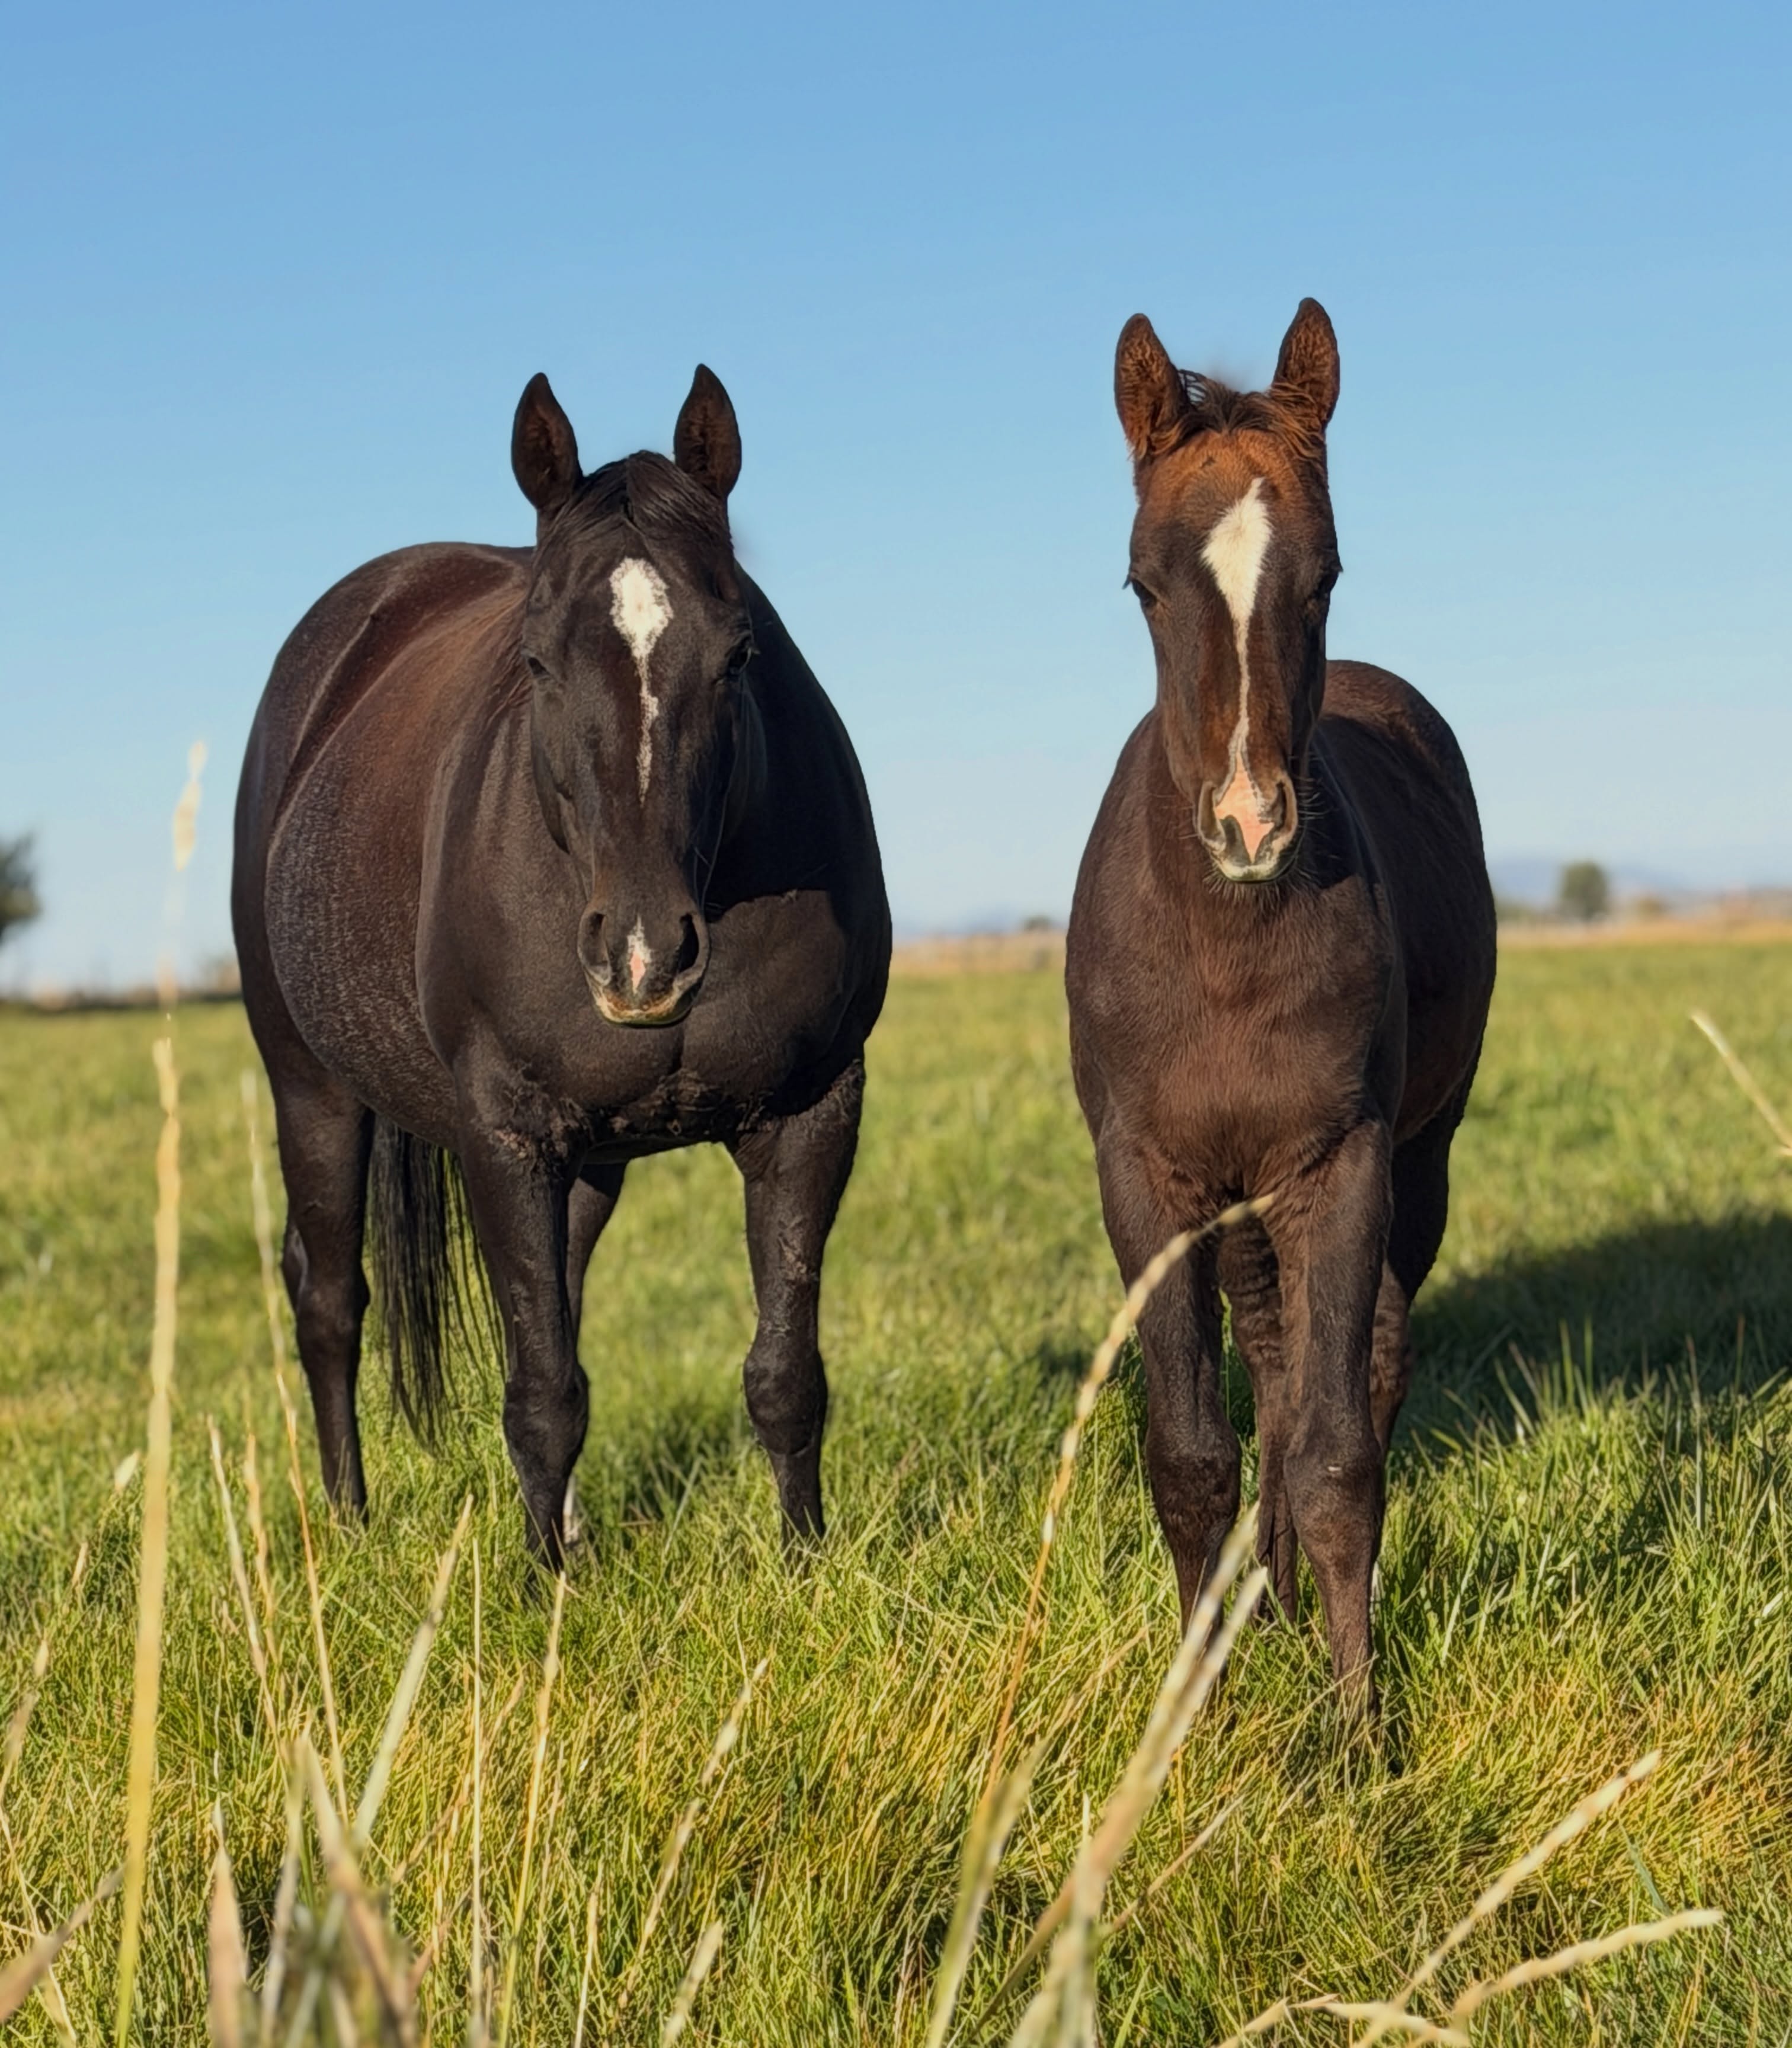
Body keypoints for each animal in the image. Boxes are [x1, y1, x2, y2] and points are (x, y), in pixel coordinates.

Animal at [233, 365, 890, 1567]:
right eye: (536, 660)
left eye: (739, 652)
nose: (644, 957)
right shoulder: (506, 1134)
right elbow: (540, 1394)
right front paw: (543, 1590)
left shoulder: (811, 1112)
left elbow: (783, 1375)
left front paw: (806, 1566)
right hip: (310, 1087)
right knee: (330, 1300)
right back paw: (346, 1526)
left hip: (586, 1160)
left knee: (558, 1298)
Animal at [1065, 301, 1496, 1709]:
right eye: (1142, 584)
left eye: (1327, 574)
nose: (1251, 825)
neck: (1226, 951)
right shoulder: (1149, 1180)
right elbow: (1193, 1451)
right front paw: (1192, 1705)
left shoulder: (1338, 1162)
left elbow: (1336, 1451)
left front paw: (1357, 1726)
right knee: (1268, 1358)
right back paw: (1267, 1600)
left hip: (1419, 1157)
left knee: (1354, 1367)